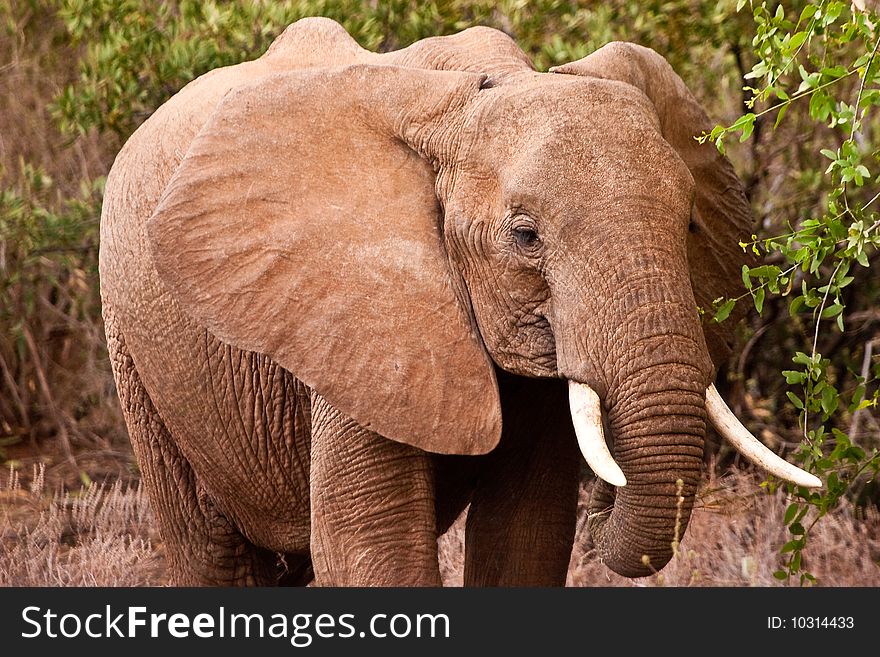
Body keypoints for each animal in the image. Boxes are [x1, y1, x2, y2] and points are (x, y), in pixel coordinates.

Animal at [99, 16, 820, 584]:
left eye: (689, 224)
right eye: (525, 236)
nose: (607, 503)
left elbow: (526, 538)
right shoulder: (356, 317)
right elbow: (372, 550)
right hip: (136, 353)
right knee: (211, 553)